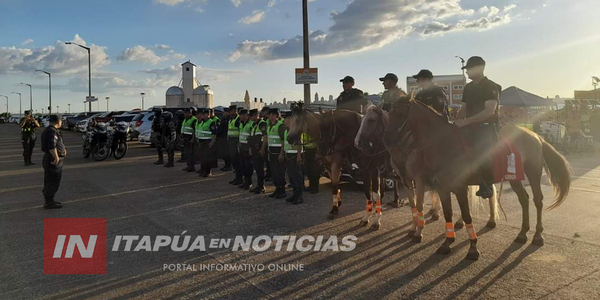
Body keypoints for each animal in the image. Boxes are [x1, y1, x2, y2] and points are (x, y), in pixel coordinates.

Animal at [384, 98, 572, 260]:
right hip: (514, 178)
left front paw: (473, 248)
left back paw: (538, 235)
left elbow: (467, 216)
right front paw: (447, 242)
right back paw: (522, 233)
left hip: (533, 172)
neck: (444, 145)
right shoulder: (443, 189)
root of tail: (536, 136)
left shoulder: (458, 188)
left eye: (399, 113)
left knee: (537, 200)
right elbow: (448, 214)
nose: (388, 141)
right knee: (524, 199)